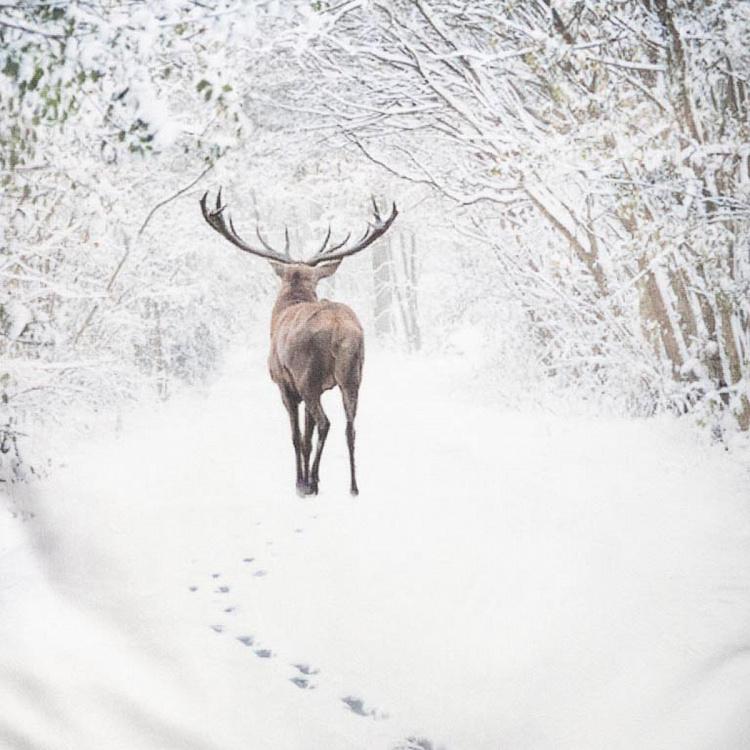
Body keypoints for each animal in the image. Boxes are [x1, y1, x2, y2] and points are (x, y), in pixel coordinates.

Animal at [200, 191, 400, 500]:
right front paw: (309, 478)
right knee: (350, 427)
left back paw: (312, 483)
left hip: (308, 375)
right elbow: (306, 435)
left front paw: (300, 482)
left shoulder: (285, 384)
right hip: (353, 374)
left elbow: (296, 436)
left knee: (326, 423)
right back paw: (353, 486)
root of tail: (340, 329)